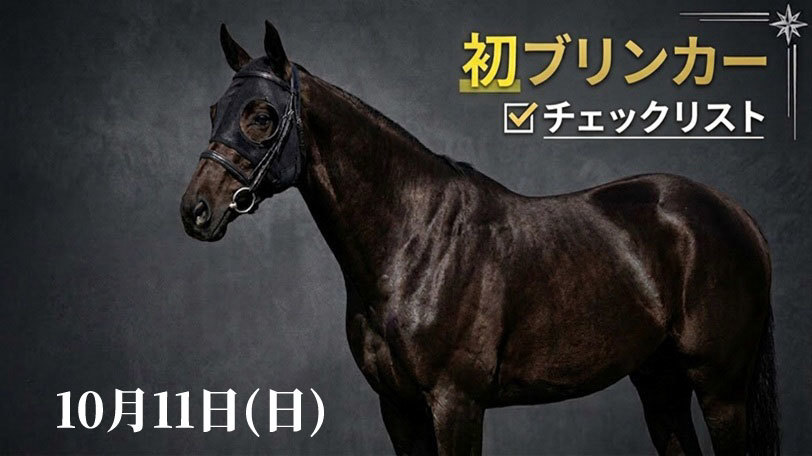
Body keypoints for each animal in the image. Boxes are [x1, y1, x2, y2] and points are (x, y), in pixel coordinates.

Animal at [180, 21, 778, 456]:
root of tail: (736, 213)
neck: (415, 245)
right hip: (660, 384)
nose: (196, 210)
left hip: (721, 388)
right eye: (214, 111)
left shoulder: (456, 403)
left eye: (262, 115)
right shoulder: (398, 409)